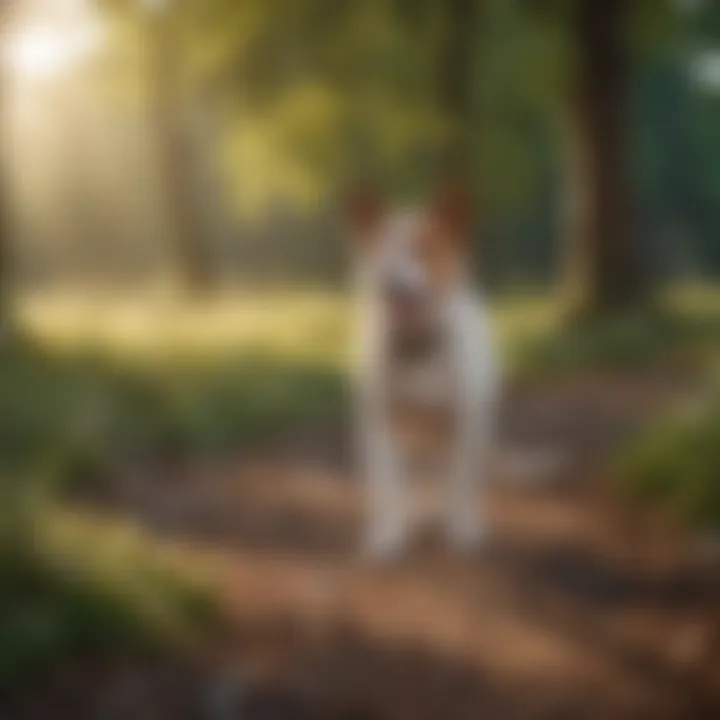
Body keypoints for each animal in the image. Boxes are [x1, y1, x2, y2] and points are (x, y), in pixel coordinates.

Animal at [348, 183, 500, 560]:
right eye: (381, 250)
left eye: (422, 248)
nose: (387, 282)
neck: (418, 347)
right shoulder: (380, 424)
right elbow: (388, 484)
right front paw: (389, 535)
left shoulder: (464, 422)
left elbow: (460, 481)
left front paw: (461, 530)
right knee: (416, 474)